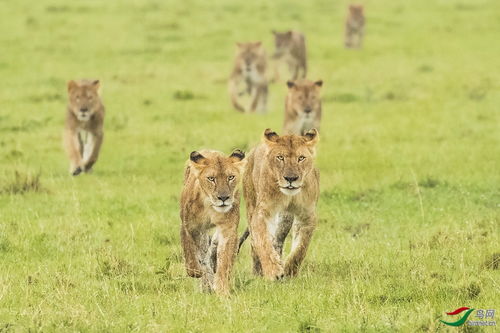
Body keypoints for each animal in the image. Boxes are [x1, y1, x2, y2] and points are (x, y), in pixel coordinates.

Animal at [182, 148, 248, 294]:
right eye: (211, 179)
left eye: (230, 177)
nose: (223, 198)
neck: (209, 205)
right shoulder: (189, 226)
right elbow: (189, 251)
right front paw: (196, 272)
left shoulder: (228, 229)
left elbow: (224, 260)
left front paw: (222, 289)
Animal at [240, 128, 318, 278]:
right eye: (280, 157)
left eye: (301, 158)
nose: (291, 178)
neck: (289, 196)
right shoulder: (263, 212)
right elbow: (263, 242)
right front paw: (273, 271)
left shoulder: (307, 215)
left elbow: (301, 248)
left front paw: (289, 271)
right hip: (251, 203)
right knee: (255, 244)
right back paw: (257, 273)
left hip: (284, 219)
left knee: (277, 240)